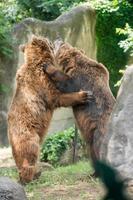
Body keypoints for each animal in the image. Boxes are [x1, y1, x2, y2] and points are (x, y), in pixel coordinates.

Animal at [7, 36, 92, 183]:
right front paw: (83, 95)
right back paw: (30, 176)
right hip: (27, 133)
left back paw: (34, 173)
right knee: (30, 151)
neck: (39, 61)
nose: (55, 38)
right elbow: (59, 96)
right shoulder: (42, 82)